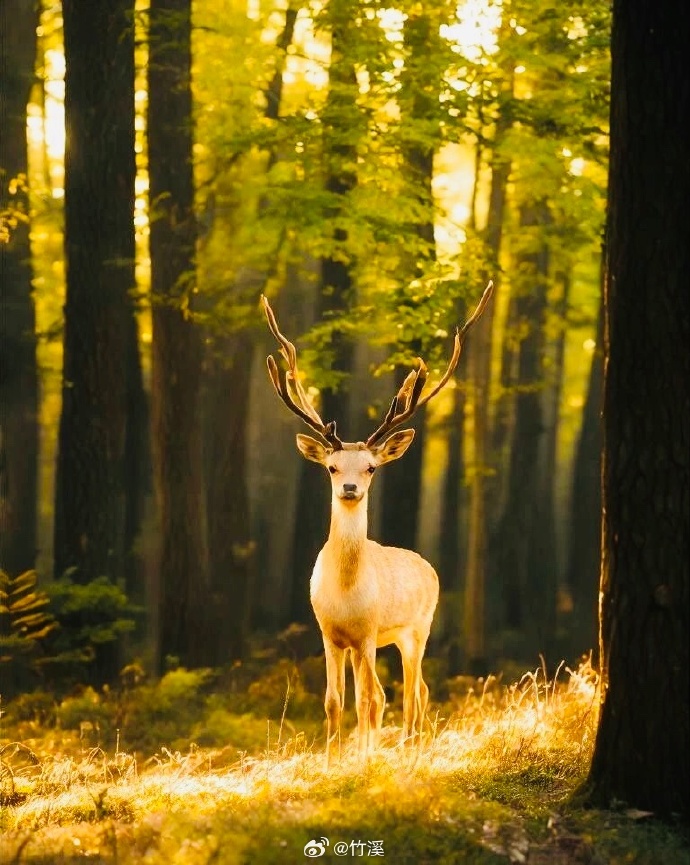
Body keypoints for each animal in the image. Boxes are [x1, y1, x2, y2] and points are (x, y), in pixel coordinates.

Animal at [262, 281, 493, 766]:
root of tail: (427, 565)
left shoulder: (369, 632)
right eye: (331, 467)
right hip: (377, 642)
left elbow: (368, 700)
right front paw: (332, 761)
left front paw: (364, 763)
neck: (347, 596)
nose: (350, 487)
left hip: (417, 628)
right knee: (396, 694)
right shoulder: (330, 633)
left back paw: (409, 749)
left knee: (414, 692)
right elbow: (336, 701)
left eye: (370, 467)